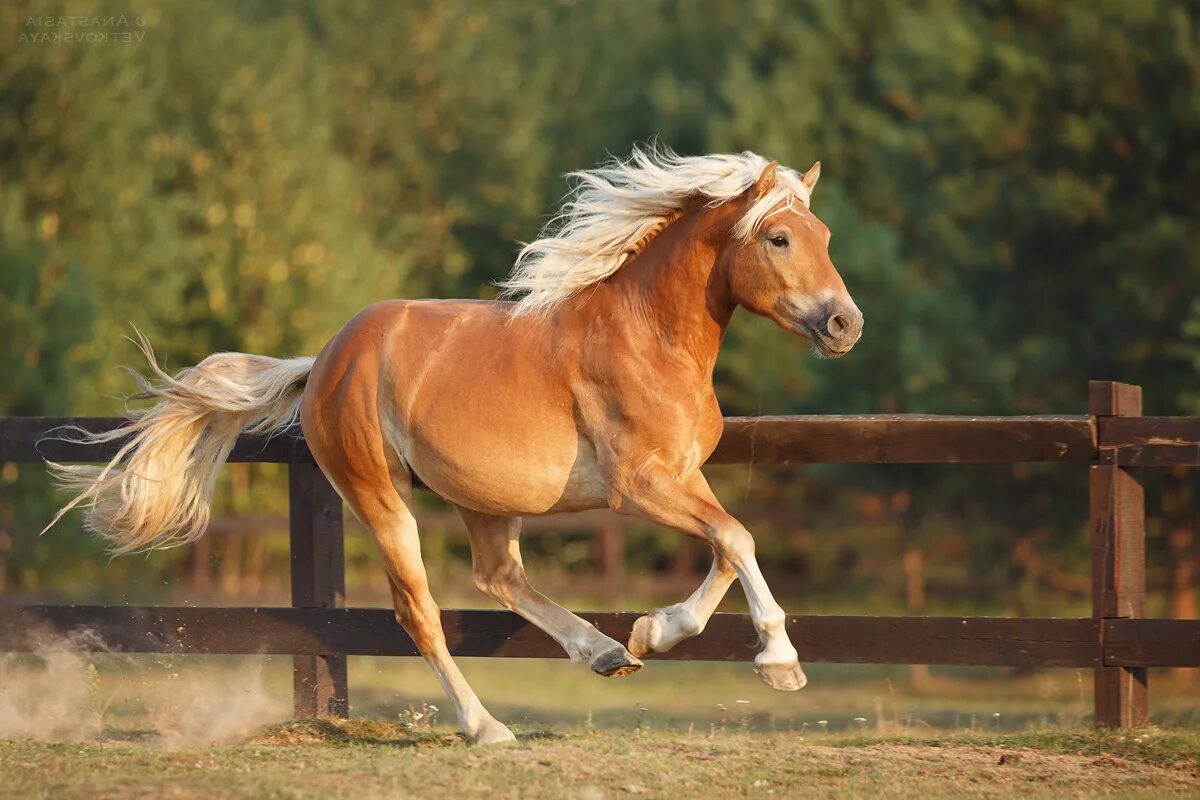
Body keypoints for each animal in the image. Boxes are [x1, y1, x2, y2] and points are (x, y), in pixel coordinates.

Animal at [49, 146, 864, 748]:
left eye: (825, 238)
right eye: (779, 238)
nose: (844, 324)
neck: (648, 336)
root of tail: (325, 361)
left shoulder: (685, 477)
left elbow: (729, 545)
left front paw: (653, 629)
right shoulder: (641, 485)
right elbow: (739, 537)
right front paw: (780, 663)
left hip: (483, 496)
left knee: (498, 576)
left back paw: (605, 653)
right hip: (380, 497)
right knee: (422, 613)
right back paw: (488, 727)